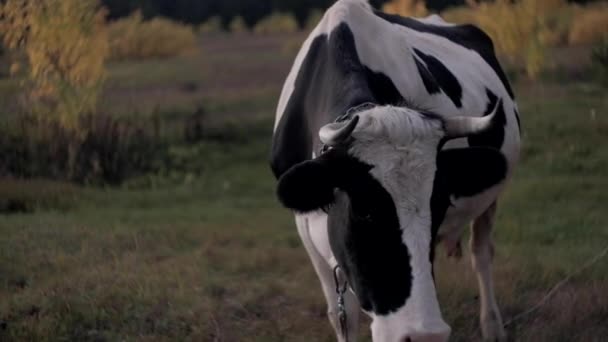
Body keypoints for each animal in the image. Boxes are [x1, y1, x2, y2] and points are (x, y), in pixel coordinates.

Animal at [272, 1, 524, 340]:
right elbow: (341, 315)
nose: (424, 335)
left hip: (490, 200)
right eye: (364, 210)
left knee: (482, 253)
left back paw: (492, 326)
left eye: (440, 204)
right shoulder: (305, 226)